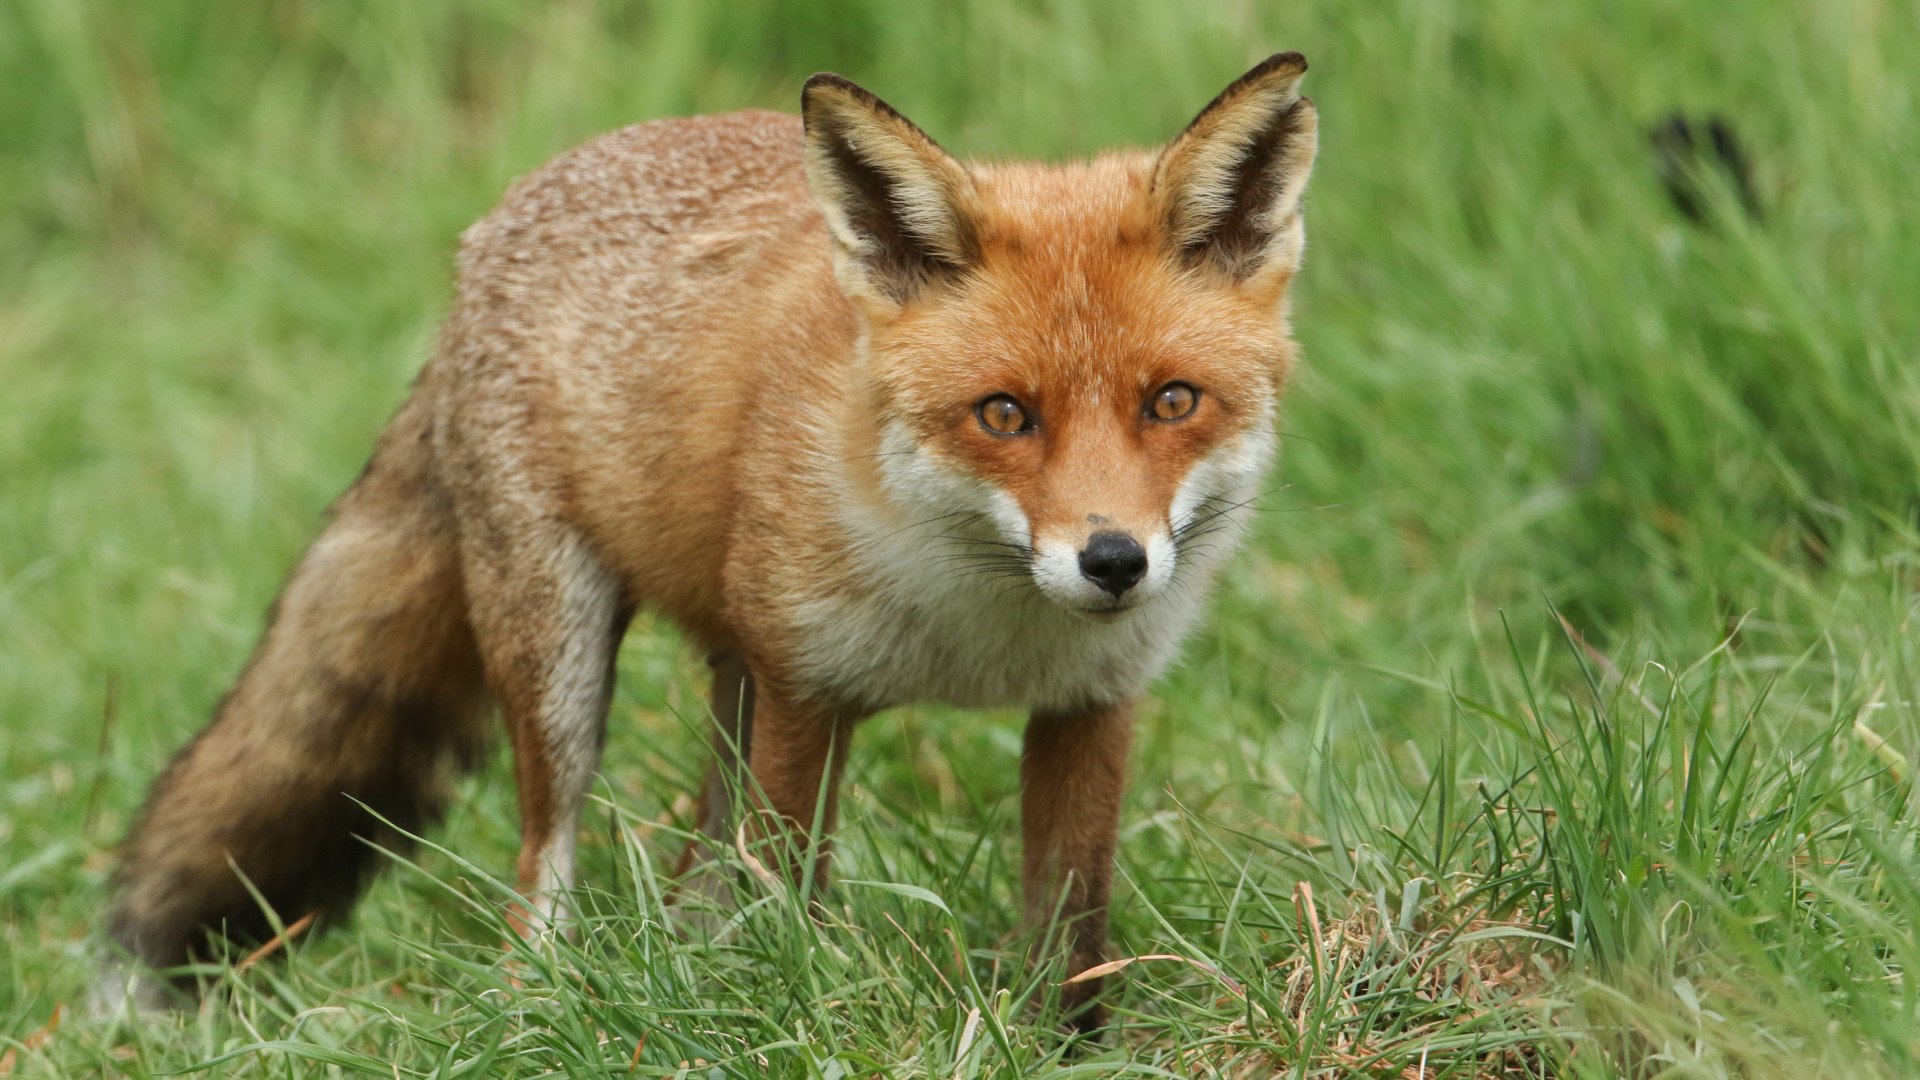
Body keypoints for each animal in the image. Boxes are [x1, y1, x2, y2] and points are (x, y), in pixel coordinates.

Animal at [101, 52, 1320, 1022]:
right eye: (1005, 415)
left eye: (1172, 401)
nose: (1113, 561)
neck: (978, 624)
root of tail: (498, 219)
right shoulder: (807, 690)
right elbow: (789, 897)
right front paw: (804, 1016)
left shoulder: (1088, 705)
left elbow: (1072, 931)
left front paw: (1066, 1048)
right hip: (565, 664)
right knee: (546, 864)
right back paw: (544, 1009)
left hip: (731, 679)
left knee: (693, 868)